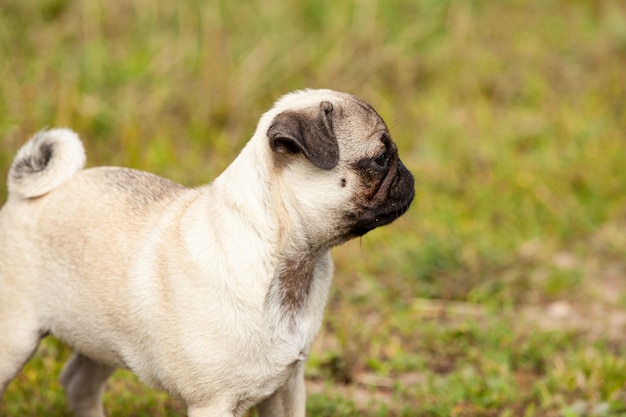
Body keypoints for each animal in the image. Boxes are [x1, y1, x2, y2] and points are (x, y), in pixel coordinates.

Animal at [0, 89, 414, 414]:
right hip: (15, 340)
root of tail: (24, 198)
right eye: (381, 159)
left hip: (106, 338)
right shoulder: (213, 402)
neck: (292, 262)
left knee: (79, 384)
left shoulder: (286, 387)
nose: (409, 177)